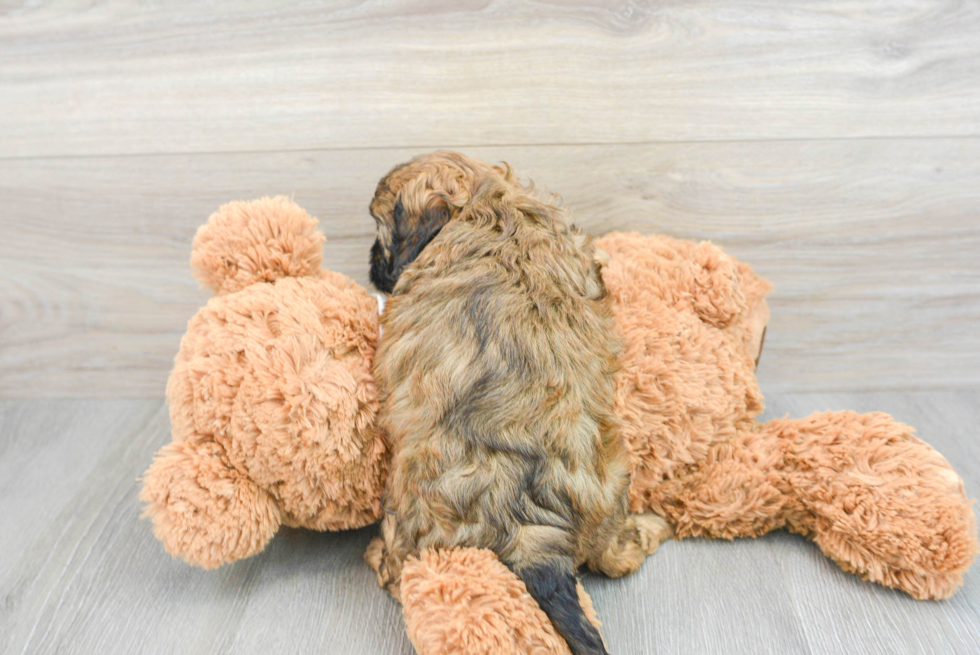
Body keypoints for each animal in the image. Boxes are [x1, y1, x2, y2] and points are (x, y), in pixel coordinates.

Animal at [366, 151, 668, 652]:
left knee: (401, 563)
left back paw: (380, 557)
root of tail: (532, 533)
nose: (371, 264)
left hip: (412, 508)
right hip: (613, 485)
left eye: (381, 232)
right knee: (614, 556)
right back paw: (650, 528)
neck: (488, 201)